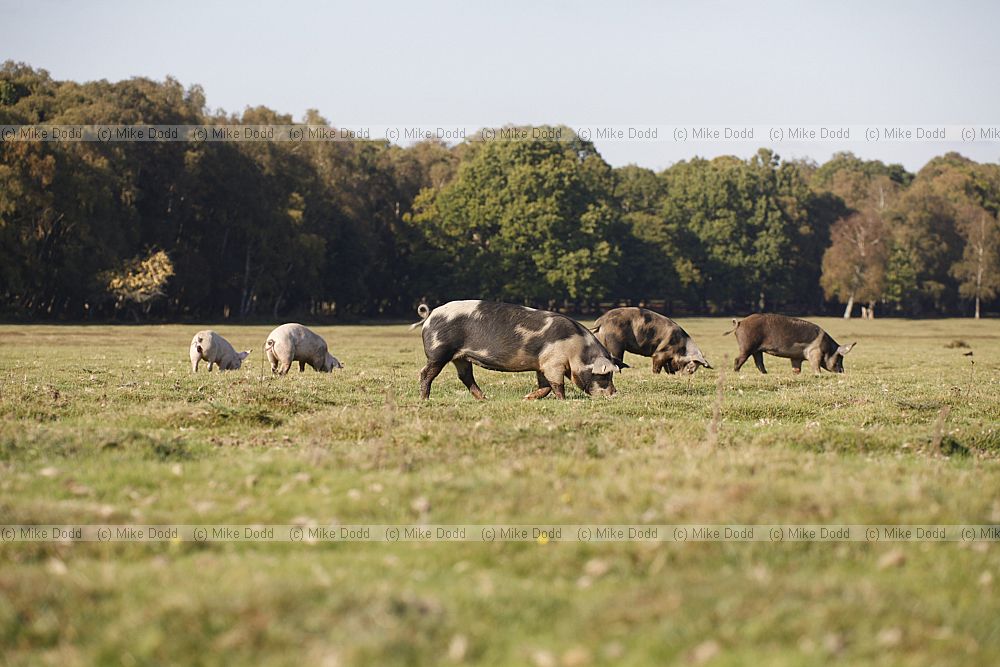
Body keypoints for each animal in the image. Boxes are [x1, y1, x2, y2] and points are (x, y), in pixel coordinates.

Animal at [415, 300, 627, 400]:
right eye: (604, 376)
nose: (614, 393)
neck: (577, 350)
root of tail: (431, 314)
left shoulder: (542, 365)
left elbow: (545, 386)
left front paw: (526, 398)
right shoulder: (553, 363)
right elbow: (556, 385)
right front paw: (563, 400)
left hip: (460, 357)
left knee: (465, 377)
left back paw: (484, 399)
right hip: (439, 351)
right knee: (426, 373)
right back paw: (425, 399)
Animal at [726, 313, 856, 374]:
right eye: (839, 358)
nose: (842, 371)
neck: (828, 349)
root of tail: (740, 323)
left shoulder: (796, 358)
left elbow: (796, 369)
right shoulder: (815, 353)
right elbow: (816, 366)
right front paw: (818, 374)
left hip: (757, 350)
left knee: (759, 362)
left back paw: (766, 373)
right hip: (746, 346)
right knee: (738, 359)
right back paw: (736, 372)